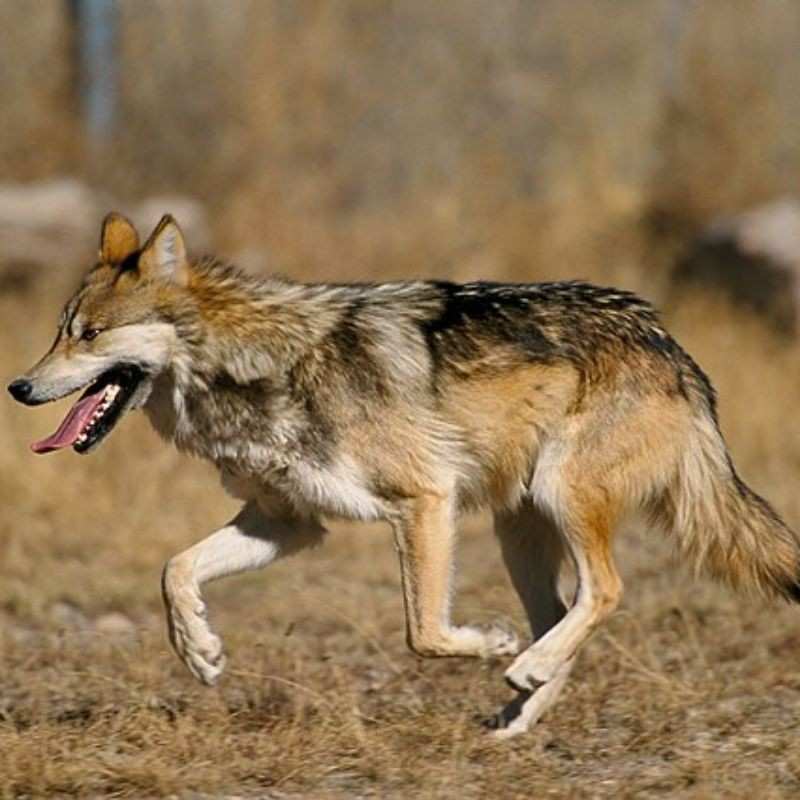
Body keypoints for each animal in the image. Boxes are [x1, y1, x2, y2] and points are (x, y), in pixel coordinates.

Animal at [9, 213, 800, 737]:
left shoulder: (425, 500)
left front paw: (490, 645)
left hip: (559, 497)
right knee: (564, 614)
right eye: (58, 332)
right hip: (519, 530)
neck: (255, 366)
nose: (18, 387)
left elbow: (424, 631)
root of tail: (670, 345)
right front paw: (200, 652)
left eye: (89, 335)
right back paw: (518, 714)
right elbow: (174, 569)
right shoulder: (287, 522)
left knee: (604, 591)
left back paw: (524, 669)